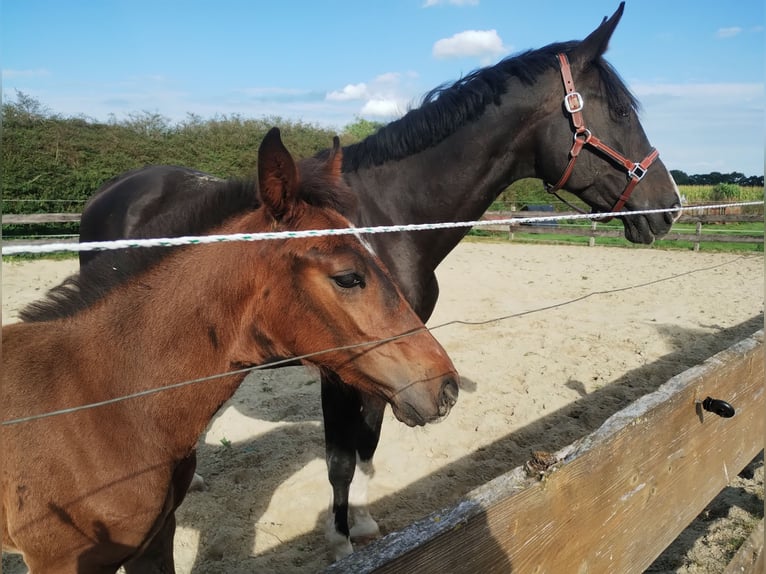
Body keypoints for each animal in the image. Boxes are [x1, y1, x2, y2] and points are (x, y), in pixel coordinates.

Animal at [75, 2, 681, 559]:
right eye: (620, 110)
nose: (670, 206)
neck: (387, 219)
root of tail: (115, 188)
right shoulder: (346, 366)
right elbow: (341, 459)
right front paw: (341, 542)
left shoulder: (384, 365)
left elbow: (366, 449)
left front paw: (362, 526)